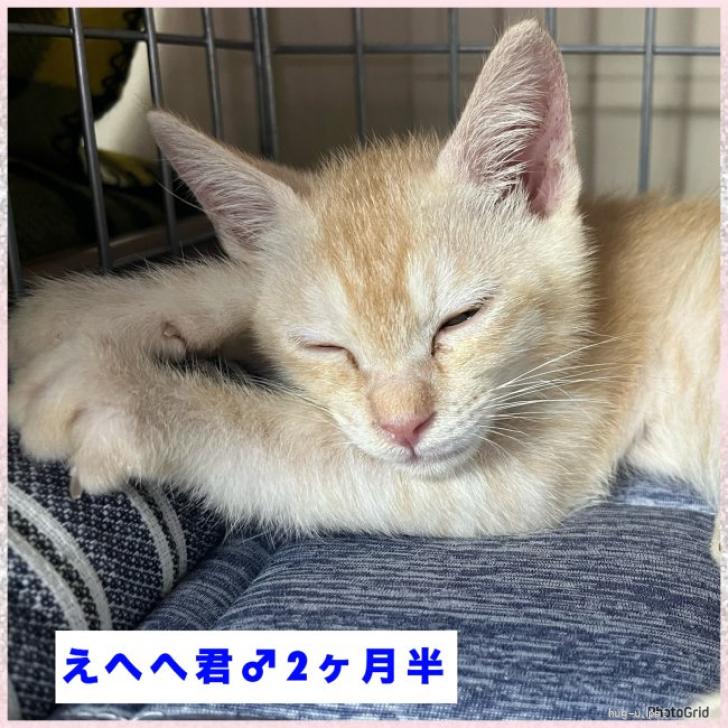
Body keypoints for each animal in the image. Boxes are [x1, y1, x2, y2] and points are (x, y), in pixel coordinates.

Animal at [9, 19, 718, 542]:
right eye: (328, 347)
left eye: (461, 319)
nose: (405, 428)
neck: (598, 302)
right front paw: (76, 312)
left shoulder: (542, 456)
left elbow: (294, 445)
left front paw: (125, 395)